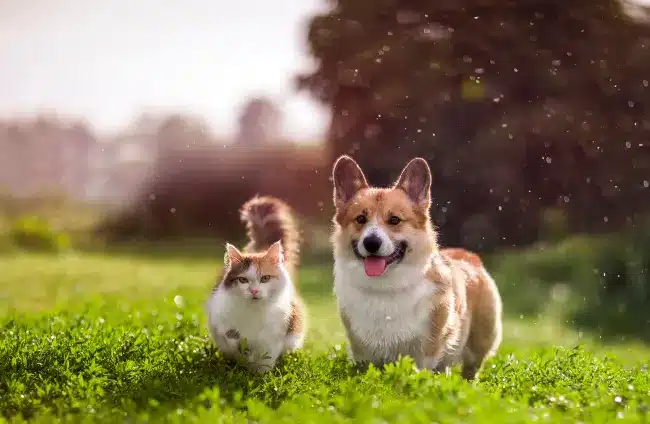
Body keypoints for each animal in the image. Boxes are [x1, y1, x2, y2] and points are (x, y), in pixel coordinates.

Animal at [206, 194, 306, 372]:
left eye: (265, 278)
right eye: (243, 280)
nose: (254, 291)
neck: (254, 311)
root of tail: (259, 249)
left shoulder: (275, 335)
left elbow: (265, 359)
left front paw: (259, 375)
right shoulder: (219, 319)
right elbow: (230, 339)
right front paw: (239, 359)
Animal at [330, 154, 502, 380]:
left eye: (394, 220)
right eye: (360, 218)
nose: (371, 243)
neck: (385, 288)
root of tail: (468, 255)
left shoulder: (427, 349)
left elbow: (421, 370)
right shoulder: (362, 351)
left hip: (479, 342)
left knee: (470, 369)